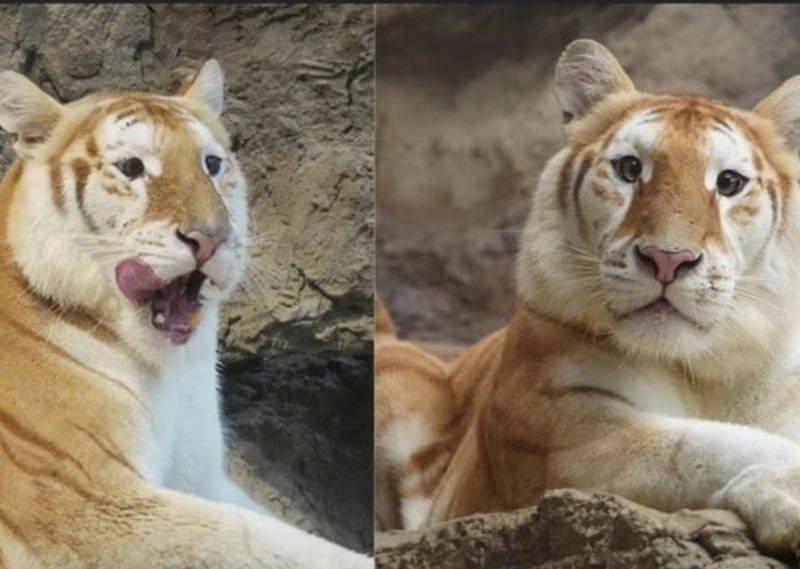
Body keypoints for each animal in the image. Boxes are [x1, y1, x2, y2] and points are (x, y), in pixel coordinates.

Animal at [0, 61, 372, 568]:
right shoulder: (87, 501)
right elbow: (265, 543)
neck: (169, 371)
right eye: (132, 167)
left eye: (211, 164)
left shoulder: (203, 477)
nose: (210, 237)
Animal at [374, 36, 800, 556]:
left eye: (729, 183)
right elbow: (706, 445)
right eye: (630, 169)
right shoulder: (558, 426)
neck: (702, 370)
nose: (667, 259)